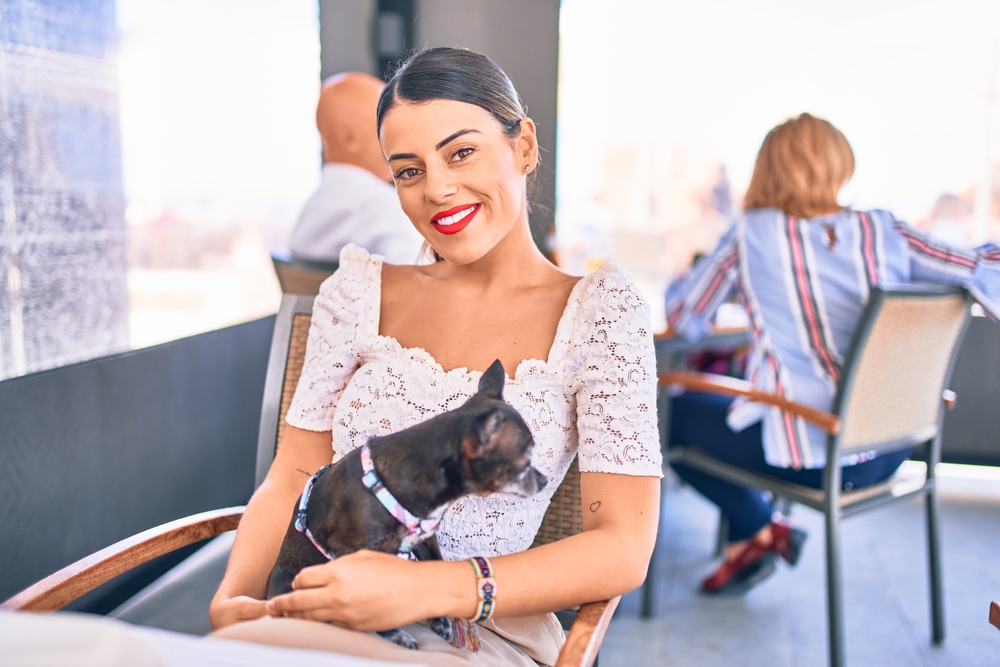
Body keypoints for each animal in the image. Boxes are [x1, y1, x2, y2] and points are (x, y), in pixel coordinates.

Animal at [266, 362, 548, 648]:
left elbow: (433, 574)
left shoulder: (425, 542)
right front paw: (391, 631)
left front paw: (441, 621)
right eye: (525, 462)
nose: (544, 480)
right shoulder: (348, 553)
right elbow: (365, 597)